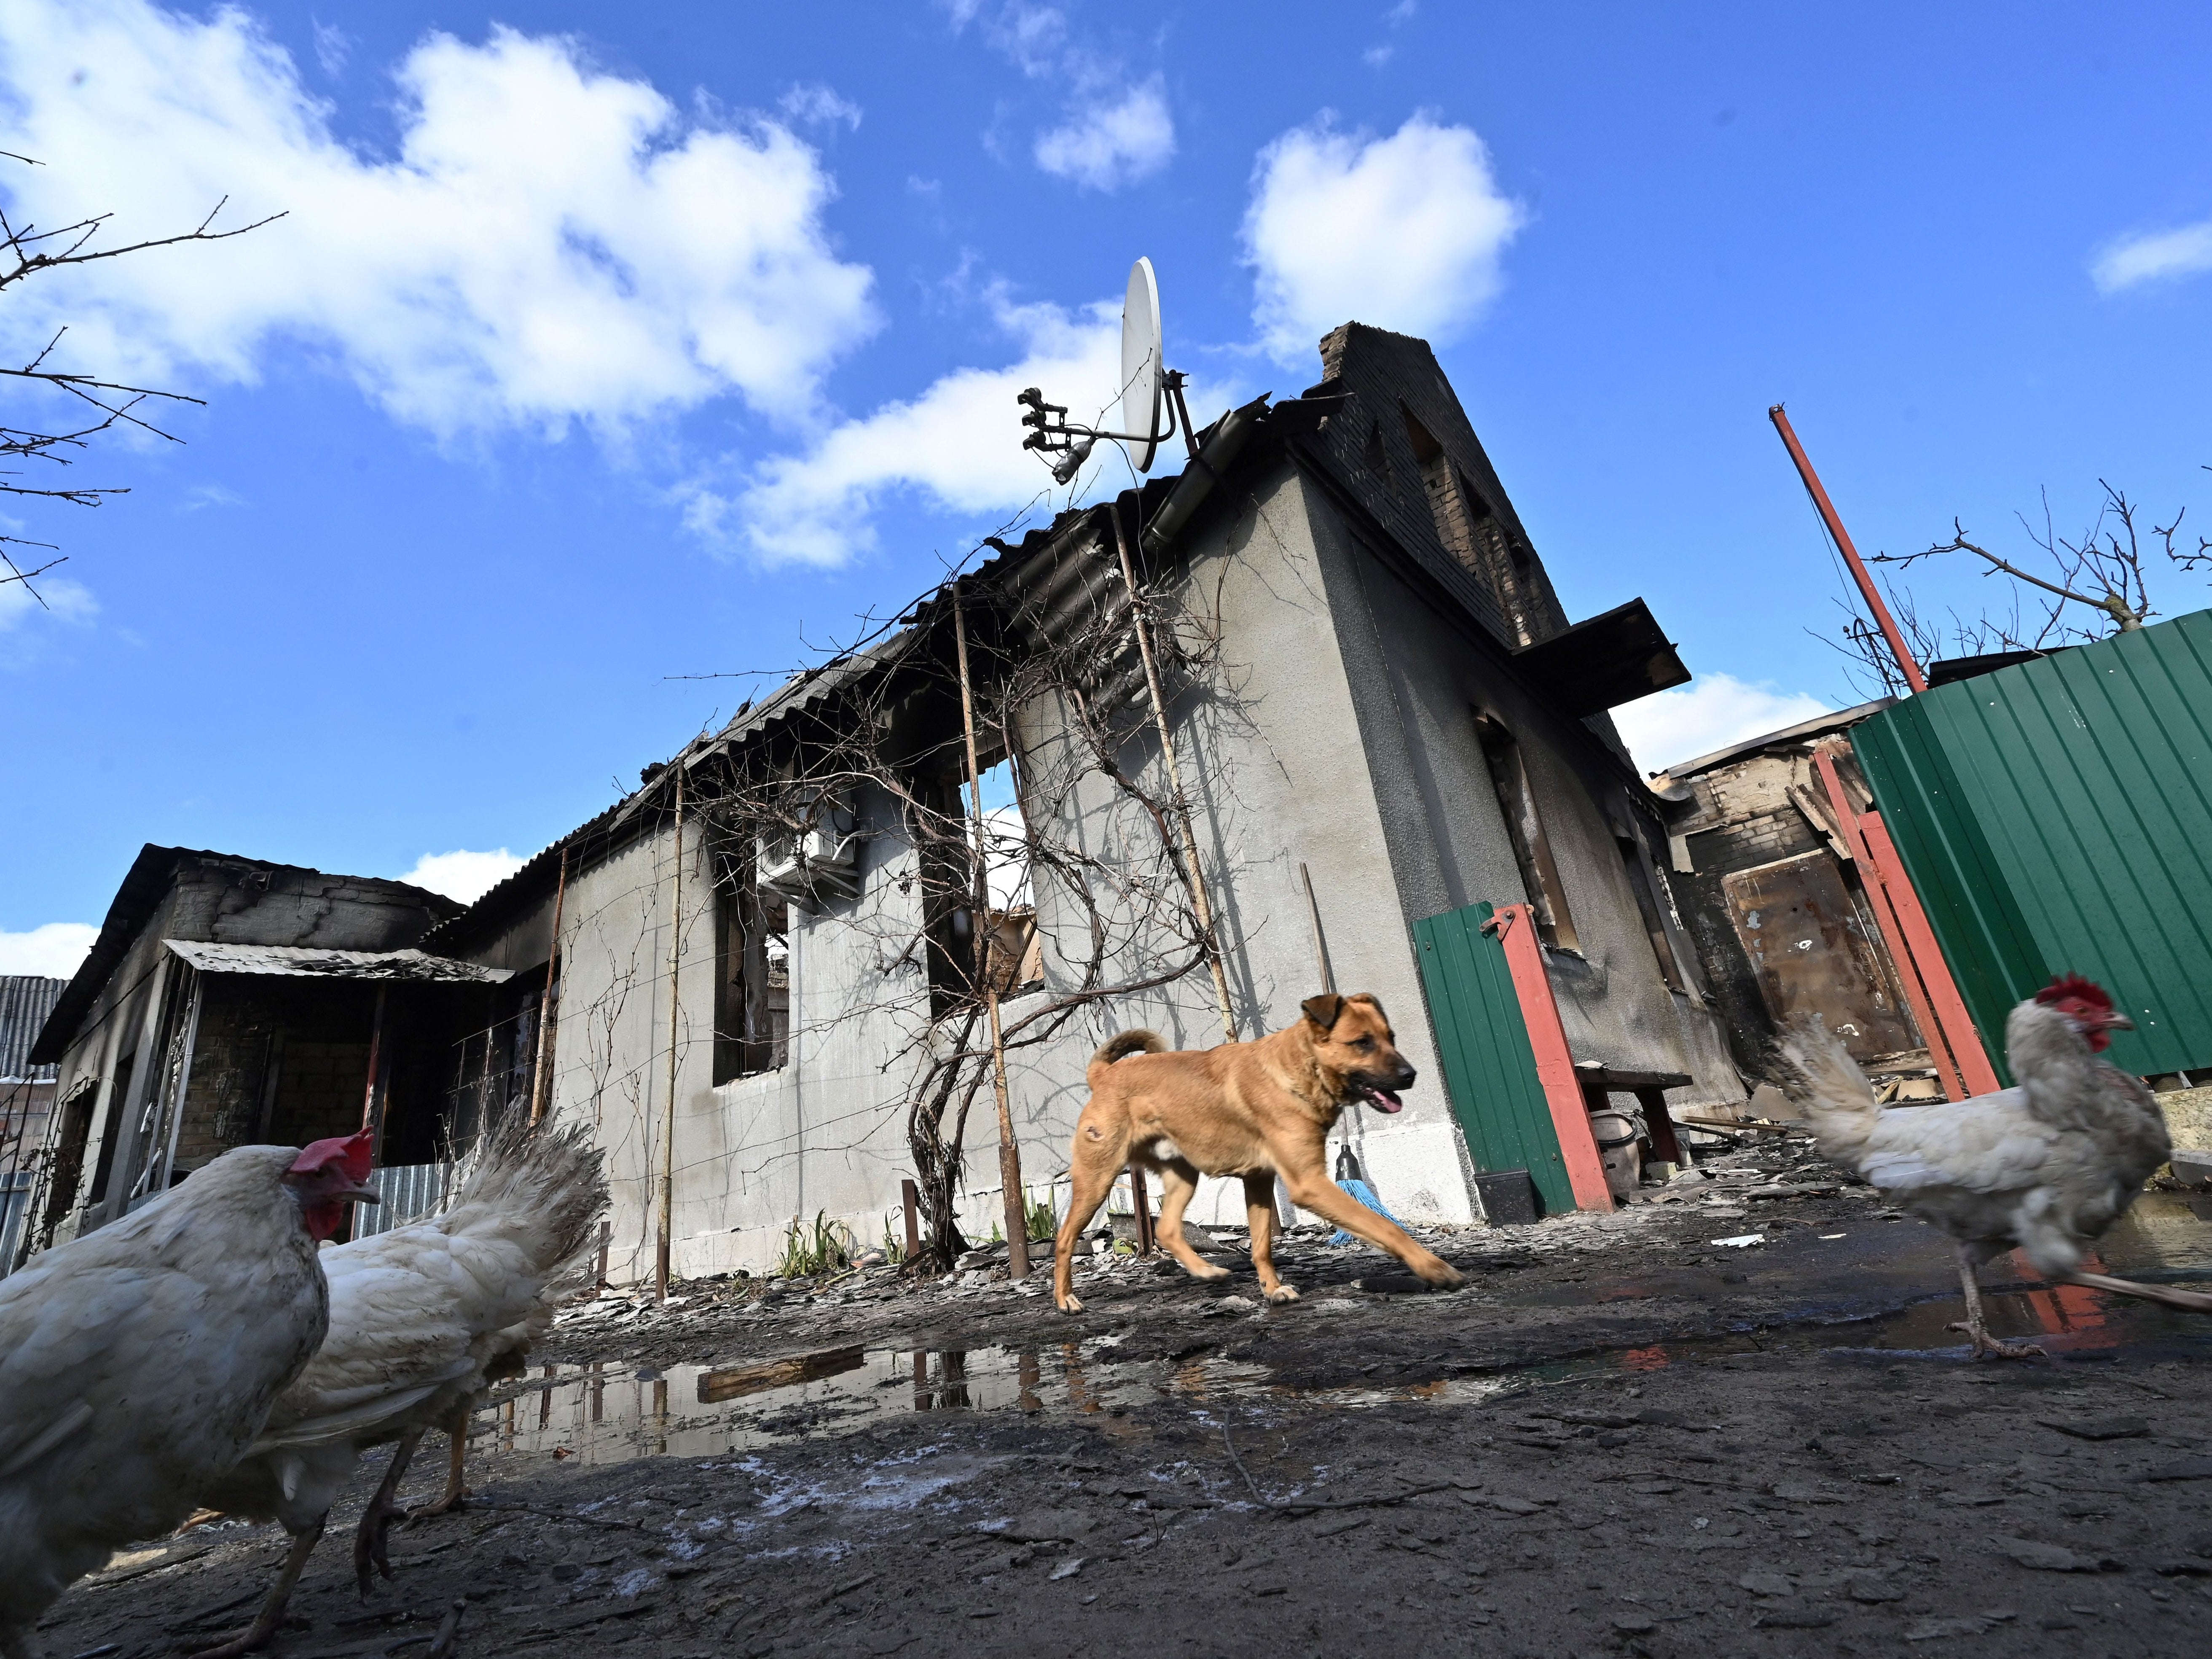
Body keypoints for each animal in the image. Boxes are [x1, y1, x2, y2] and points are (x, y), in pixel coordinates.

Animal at [1053, 995, 1468, 1318]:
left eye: (1390, 1038)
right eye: (1362, 1043)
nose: (1410, 1075)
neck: (1299, 1068)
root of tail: (1103, 1075)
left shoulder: (1259, 1180)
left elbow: (1262, 1245)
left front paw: (1272, 1289)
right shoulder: (1309, 1184)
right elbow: (1385, 1227)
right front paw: (1434, 1268)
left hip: (1183, 1174)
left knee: (1168, 1228)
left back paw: (1207, 1271)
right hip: (1097, 1179)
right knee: (1066, 1237)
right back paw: (1065, 1299)